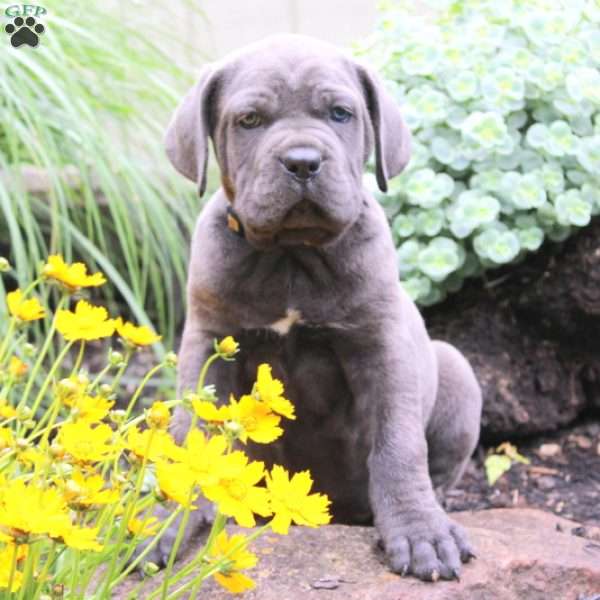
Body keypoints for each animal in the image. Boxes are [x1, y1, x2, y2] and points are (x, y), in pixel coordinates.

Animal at [156, 32, 482, 580]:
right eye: (249, 120)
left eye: (340, 114)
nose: (303, 161)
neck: (292, 255)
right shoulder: (209, 341)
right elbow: (194, 431)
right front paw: (168, 522)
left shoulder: (382, 345)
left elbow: (398, 444)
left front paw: (420, 532)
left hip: (456, 370)